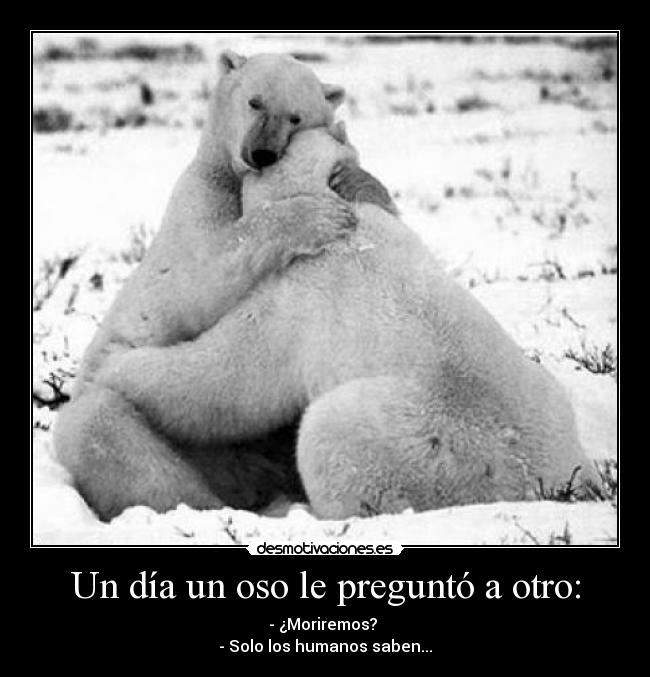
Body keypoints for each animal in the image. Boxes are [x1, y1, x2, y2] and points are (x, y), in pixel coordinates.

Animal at [54, 51, 395, 520]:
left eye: (296, 116)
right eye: (254, 101)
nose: (263, 153)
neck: (230, 176)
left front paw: (360, 182)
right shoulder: (197, 200)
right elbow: (205, 273)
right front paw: (313, 216)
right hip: (183, 441)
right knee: (102, 428)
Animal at [94, 124, 602, 520]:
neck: (344, 220)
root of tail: (551, 482)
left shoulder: (294, 297)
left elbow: (227, 381)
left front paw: (115, 369)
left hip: (427, 444)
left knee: (329, 437)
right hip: (546, 396)